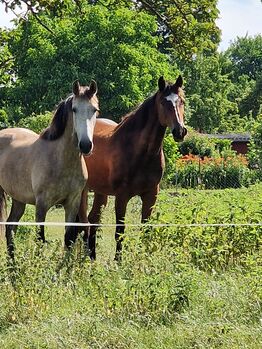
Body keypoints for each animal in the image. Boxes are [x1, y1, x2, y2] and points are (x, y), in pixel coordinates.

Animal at [0, 80, 100, 256]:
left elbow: (68, 239)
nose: (86, 145)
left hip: (19, 199)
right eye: (74, 109)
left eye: (94, 109)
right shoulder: (42, 205)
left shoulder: (72, 203)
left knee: (10, 227)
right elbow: (40, 239)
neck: (61, 161)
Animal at [79, 75, 187, 258]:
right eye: (163, 103)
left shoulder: (151, 195)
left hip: (101, 192)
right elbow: (120, 232)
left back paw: (92, 258)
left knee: (93, 219)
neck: (141, 153)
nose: (180, 131)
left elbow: (146, 230)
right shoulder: (122, 196)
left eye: (182, 101)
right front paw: (118, 261)